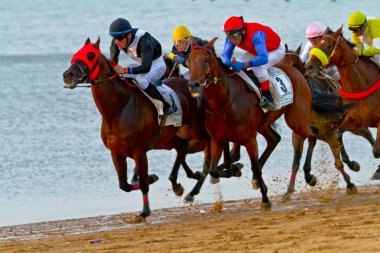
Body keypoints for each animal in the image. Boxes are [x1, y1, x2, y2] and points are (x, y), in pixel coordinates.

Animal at [62, 38, 211, 221]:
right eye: (77, 53)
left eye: (90, 55)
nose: (67, 75)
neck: (119, 109)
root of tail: (192, 85)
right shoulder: (116, 153)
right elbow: (124, 185)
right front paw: (152, 177)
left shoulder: (139, 152)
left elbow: (143, 185)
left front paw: (145, 211)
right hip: (166, 138)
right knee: (182, 148)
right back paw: (179, 183)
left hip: (196, 128)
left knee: (208, 144)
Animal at [187, 37, 344, 208]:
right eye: (188, 61)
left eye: (206, 60)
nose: (194, 84)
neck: (224, 103)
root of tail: (298, 75)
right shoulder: (218, 139)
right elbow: (213, 169)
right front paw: (235, 170)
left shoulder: (249, 139)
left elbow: (254, 167)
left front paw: (265, 199)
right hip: (266, 124)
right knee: (275, 139)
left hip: (295, 120)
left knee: (312, 135)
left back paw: (309, 175)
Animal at [280, 45, 376, 200]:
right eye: (281, 62)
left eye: (294, 64)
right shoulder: (299, 135)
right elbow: (296, 162)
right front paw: (289, 190)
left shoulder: (328, 131)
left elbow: (338, 163)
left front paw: (350, 184)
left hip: (352, 125)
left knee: (367, 134)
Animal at [304, 27, 380, 180]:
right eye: (316, 45)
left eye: (328, 46)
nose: (309, 67)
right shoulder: (350, 120)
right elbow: (338, 137)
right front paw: (351, 164)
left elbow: (377, 150)